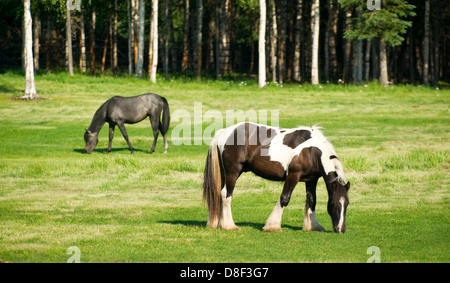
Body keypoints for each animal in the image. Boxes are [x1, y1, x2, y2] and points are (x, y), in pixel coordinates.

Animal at [202, 123, 350, 234]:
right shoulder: (293, 176)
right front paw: (272, 225)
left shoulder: (311, 180)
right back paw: (229, 225)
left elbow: (312, 201)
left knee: (219, 194)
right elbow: (284, 198)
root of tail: (225, 132)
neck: (312, 151)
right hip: (233, 173)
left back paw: (219, 223)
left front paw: (312, 226)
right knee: (226, 195)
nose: (341, 229)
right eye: (335, 204)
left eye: (347, 204)